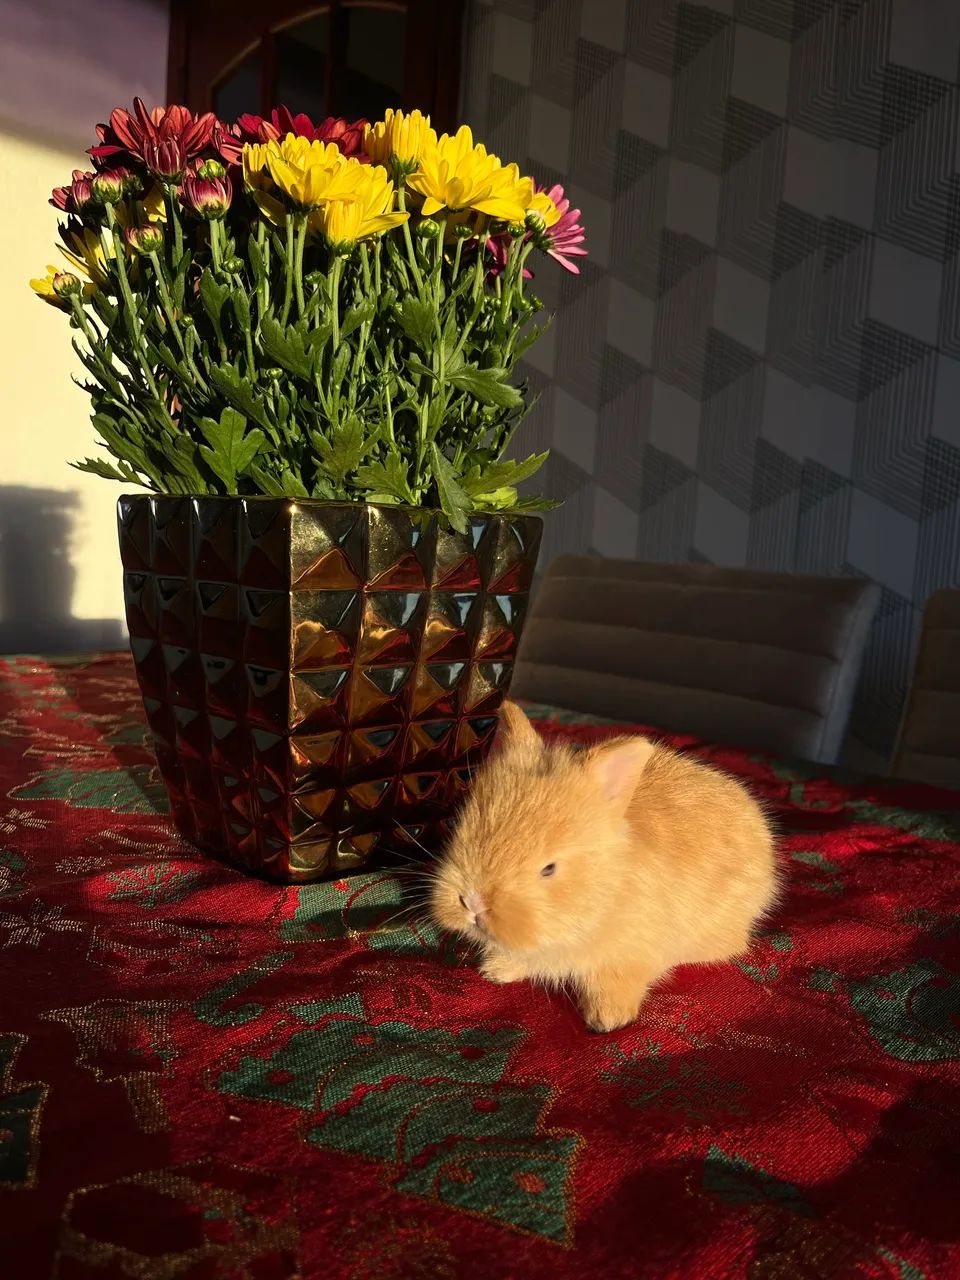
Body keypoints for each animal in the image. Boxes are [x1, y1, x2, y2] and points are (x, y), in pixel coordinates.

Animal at [430, 701, 778, 1032]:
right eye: (460, 828)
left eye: (549, 869)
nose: (472, 903)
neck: (603, 890)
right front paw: (496, 969)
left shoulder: (629, 956)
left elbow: (614, 983)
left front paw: (609, 1019)